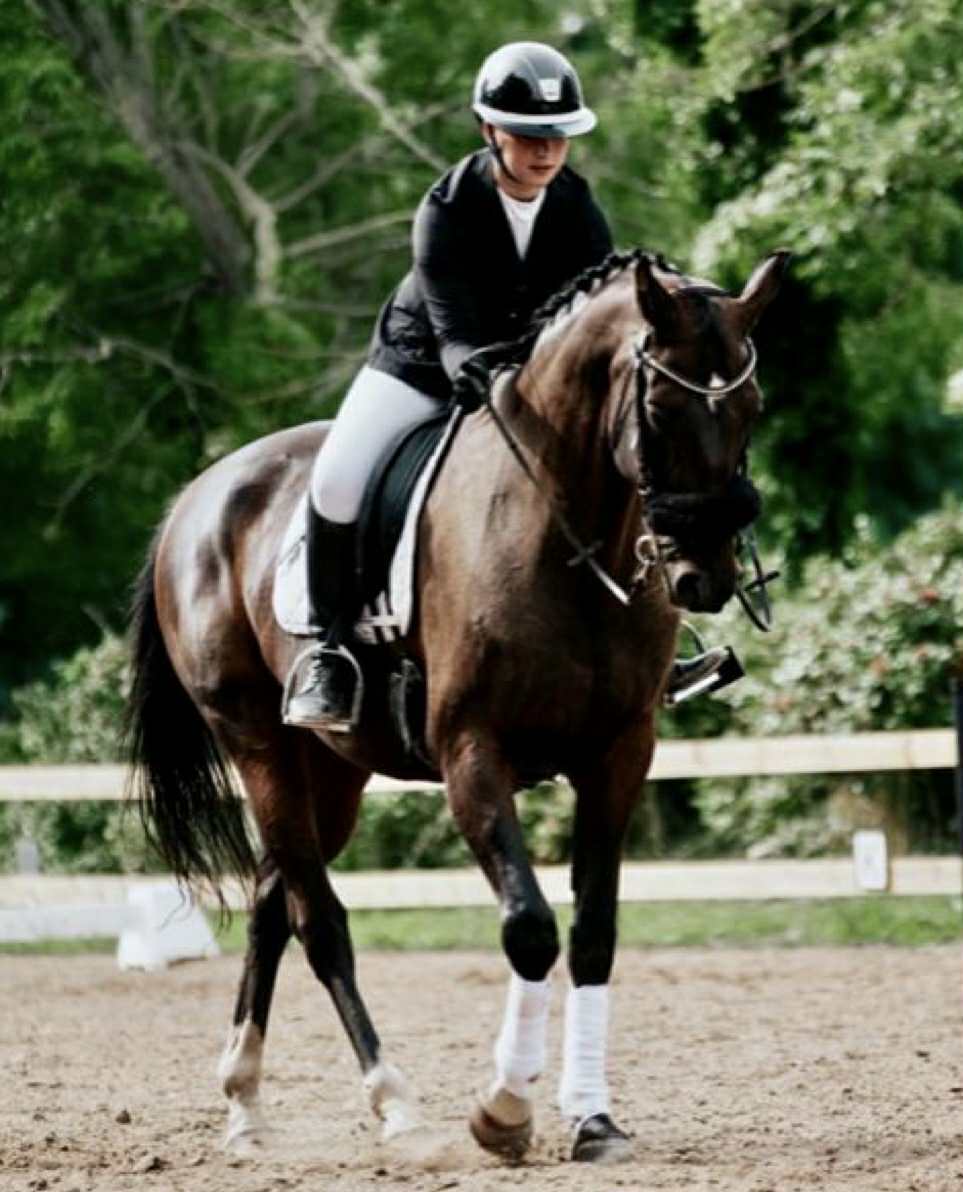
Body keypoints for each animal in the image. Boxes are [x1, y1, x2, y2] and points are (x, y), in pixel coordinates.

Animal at [125, 248, 789, 1164]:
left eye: (752, 407)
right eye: (658, 407)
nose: (704, 577)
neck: (567, 531)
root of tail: (195, 498)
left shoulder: (618, 756)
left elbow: (592, 935)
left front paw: (592, 1118)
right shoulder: (474, 754)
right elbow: (529, 928)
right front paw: (502, 1113)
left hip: (330, 770)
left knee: (273, 903)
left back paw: (246, 1104)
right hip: (256, 743)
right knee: (317, 920)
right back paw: (394, 1104)